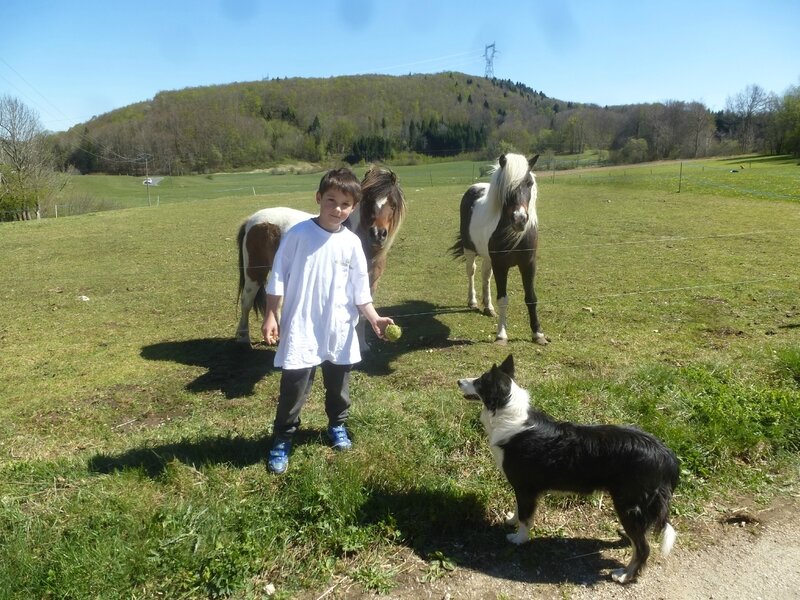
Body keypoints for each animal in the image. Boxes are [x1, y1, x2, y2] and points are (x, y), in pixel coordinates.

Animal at [446, 152, 548, 344]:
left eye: (529, 183)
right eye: (505, 186)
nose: (520, 219)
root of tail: (474, 187)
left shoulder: (529, 264)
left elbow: (531, 298)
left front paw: (538, 334)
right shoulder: (501, 265)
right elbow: (503, 299)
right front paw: (501, 335)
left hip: (488, 257)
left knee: (485, 276)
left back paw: (488, 307)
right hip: (470, 251)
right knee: (471, 272)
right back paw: (472, 302)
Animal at [460, 354, 680, 584]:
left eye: (480, 381)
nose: (458, 381)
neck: (506, 412)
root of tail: (667, 456)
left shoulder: (525, 487)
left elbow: (525, 517)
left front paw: (519, 539)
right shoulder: (523, 489)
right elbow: (519, 509)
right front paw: (511, 520)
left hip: (628, 503)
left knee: (643, 548)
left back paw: (625, 574)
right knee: (638, 538)